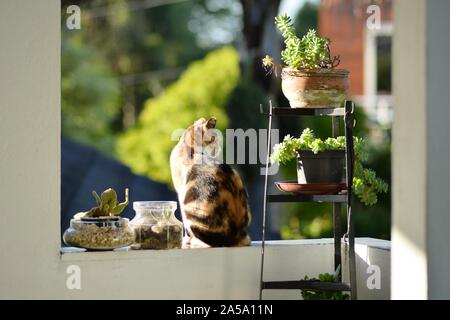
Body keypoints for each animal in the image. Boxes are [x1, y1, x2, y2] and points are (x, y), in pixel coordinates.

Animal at [170, 117, 251, 248]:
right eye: (215, 139)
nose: (219, 147)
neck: (190, 147)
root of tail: (236, 235)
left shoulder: (180, 192)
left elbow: (184, 224)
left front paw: (186, 240)